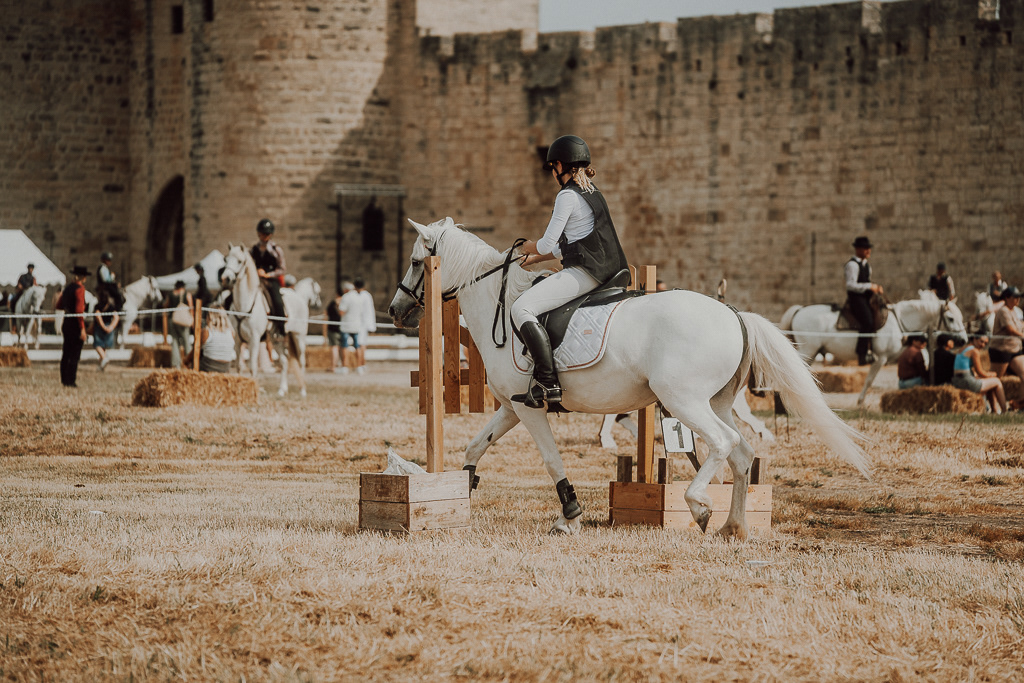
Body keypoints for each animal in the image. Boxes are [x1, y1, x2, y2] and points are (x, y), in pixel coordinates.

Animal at [221, 244, 308, 397]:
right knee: (284, 362)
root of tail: (299, 298)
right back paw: (282, 390)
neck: (245, 304)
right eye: (226, 259)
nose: (226, 278)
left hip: (299, 337)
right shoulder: (238, 339)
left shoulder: (254, 339)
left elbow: (252, 366)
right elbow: (238, 365)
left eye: (239, 261)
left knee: (302, 361)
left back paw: (302, 390)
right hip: (276, 340)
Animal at [389, 217, 869, 537]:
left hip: (683, 401)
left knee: (724, 443)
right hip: (715, 401)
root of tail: (733, 313)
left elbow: (551, 460)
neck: (501, 304)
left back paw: (699, 507)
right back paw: (734, 526)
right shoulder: (512, 406)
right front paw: (461, 489)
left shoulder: (530, 410)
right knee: (743, 453)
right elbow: (475, 445)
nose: (396, 310)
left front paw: (569, 515)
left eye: (414, 262)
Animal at [779, 298, 968, 406]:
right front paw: (861, 402)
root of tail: (799, 310)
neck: (899, 322)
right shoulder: (880, 359)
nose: (963, 340)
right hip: (808, 350)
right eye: (951, 318)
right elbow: (869, 380)